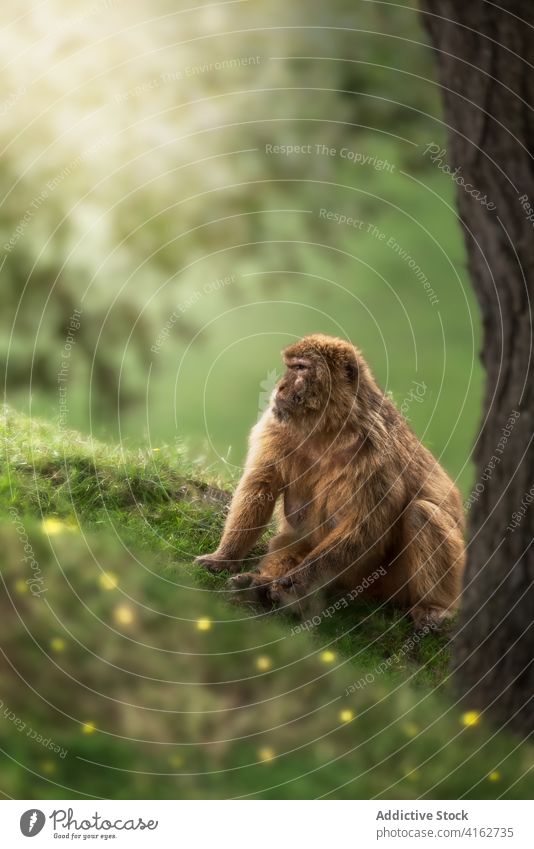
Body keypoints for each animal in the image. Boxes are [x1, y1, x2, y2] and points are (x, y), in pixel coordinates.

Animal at [196, 334, 464, 628]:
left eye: (300, 368)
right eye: (290, 366)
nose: (279, 387)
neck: (328, 427)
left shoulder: (374, 452)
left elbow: (363, 524)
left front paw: (293, 581)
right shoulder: (275, 427)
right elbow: (260, 487)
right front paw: (225, 557)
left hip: (390, 582)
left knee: (421, 512)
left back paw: (433, 606)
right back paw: (261, 586)